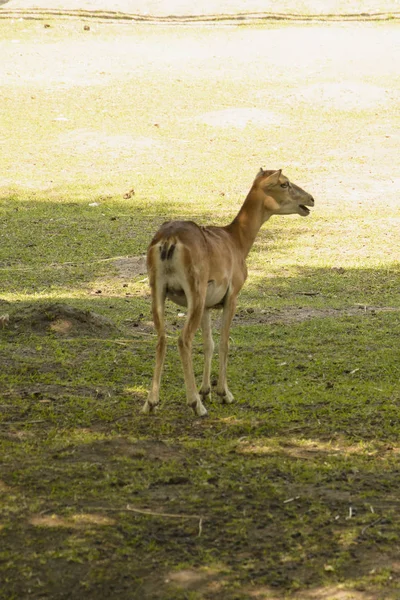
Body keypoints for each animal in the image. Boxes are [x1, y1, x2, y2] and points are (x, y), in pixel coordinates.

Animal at [142, 166, 314, 414]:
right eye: (284, 183)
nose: (310, 199)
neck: (236, 241)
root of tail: (168, 241)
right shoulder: (232, 295)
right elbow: (224, 341)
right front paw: (224, 393)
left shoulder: (207, 305)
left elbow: (209, 343)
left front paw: (206, 391)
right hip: (194, 290)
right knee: (183, 339)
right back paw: (195, 405)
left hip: (158, 289)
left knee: (161, 338)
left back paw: (151, 402)